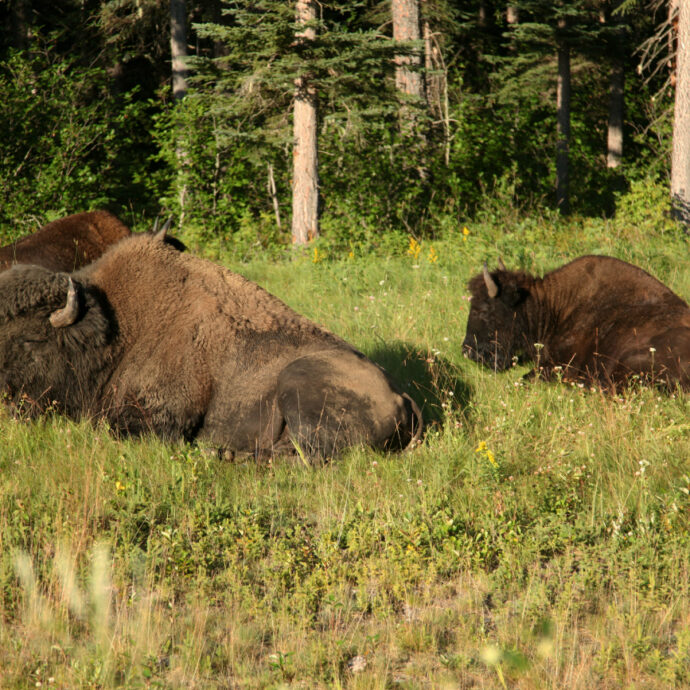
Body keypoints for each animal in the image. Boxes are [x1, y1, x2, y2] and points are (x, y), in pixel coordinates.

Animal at [0, 230, 420, 456]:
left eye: (32, 339)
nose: (5, 398)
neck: (121, 328)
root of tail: (401, 397)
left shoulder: (162, 419)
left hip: (298, 385)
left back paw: (228, 455)